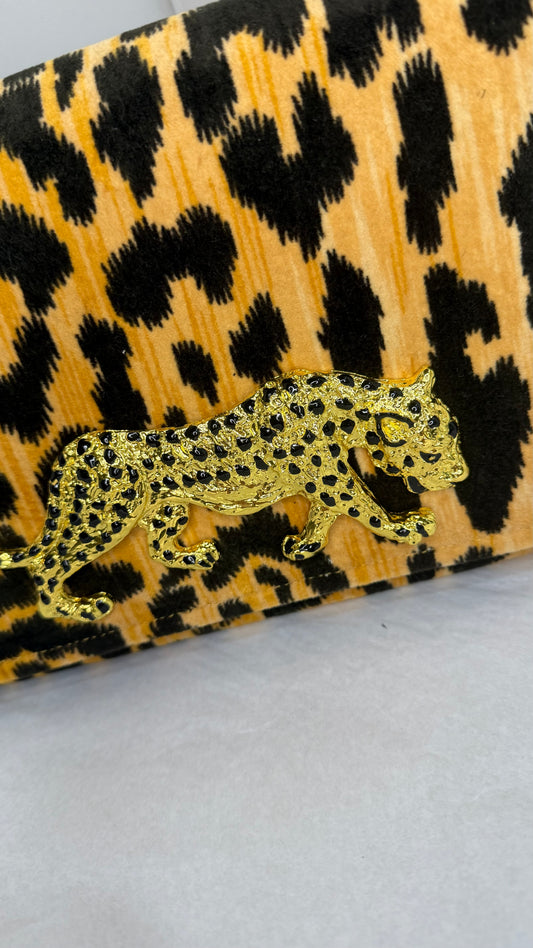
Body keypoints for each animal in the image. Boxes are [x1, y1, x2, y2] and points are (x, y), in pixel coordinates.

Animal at [0, 366, 467, 621]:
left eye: (456, 431)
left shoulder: (326, 483)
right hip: (103, 521)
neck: (344, 411)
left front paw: (303, 546)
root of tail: (73, 451)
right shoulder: (333, 482)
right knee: (47, 564)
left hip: (169, 510)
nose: (461, 473)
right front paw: (408, 527)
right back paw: (75, 609)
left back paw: (196, 556)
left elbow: (323, 514)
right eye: (431, 451)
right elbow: (368, 509)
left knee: (155, 548)